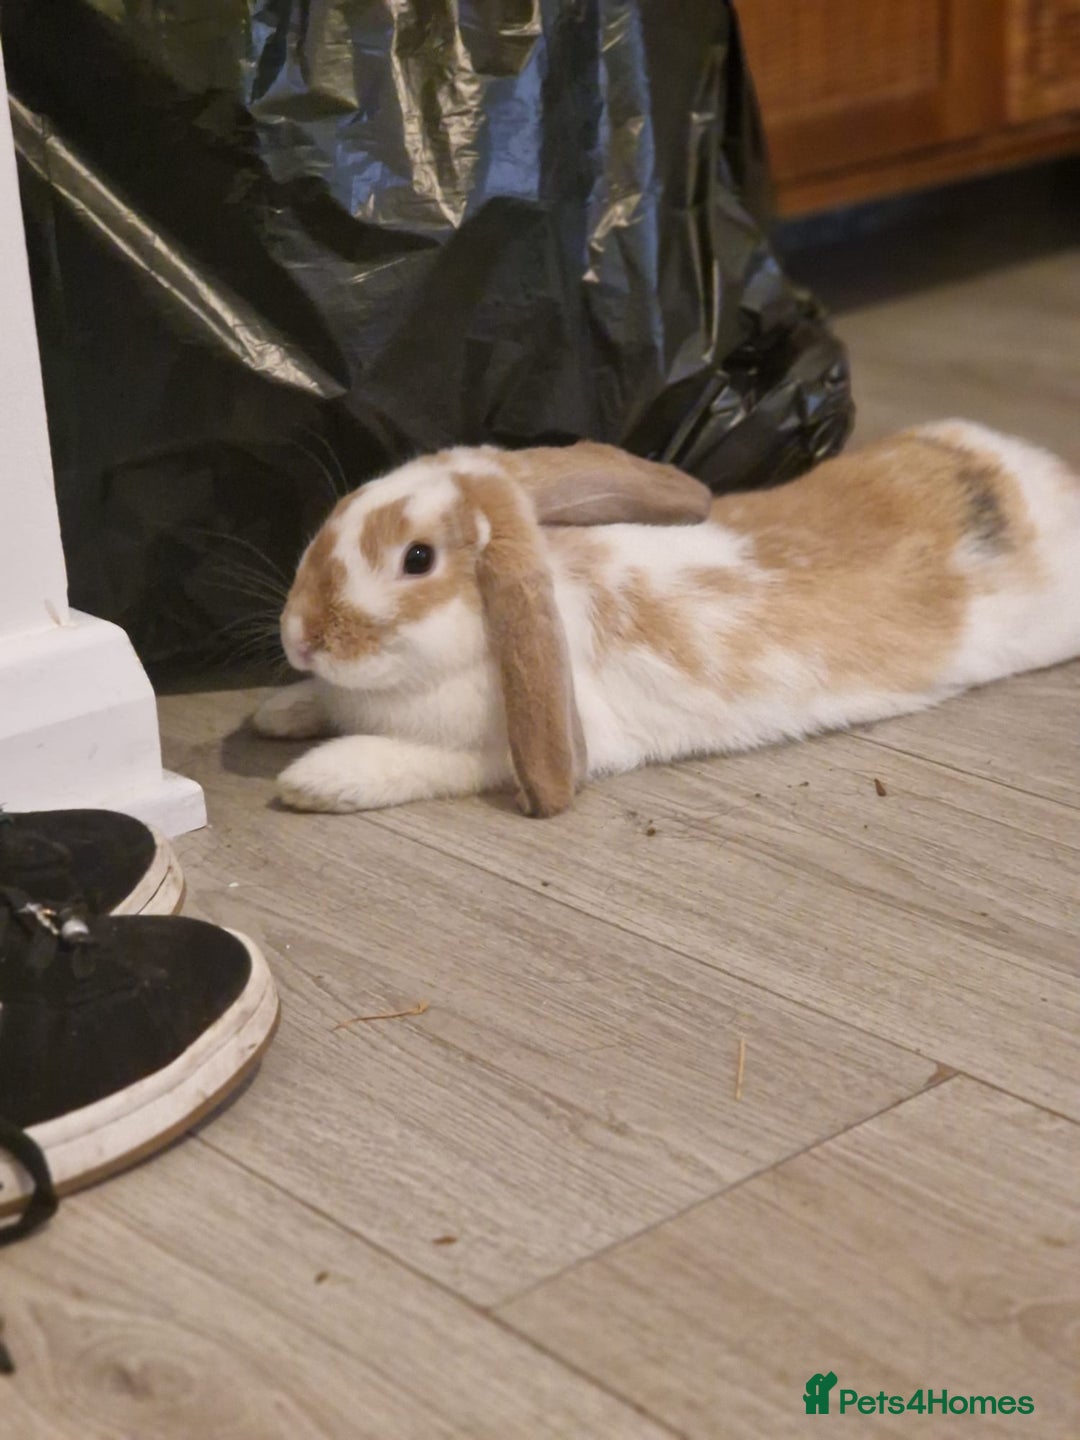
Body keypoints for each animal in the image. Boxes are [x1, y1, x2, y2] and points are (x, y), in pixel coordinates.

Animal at [252, 422, 1080, 816]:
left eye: (417, 559)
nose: (300, 636)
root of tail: (1042, 473)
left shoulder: (495, 750)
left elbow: (414, 760)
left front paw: (317, 780)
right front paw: (278, 712)